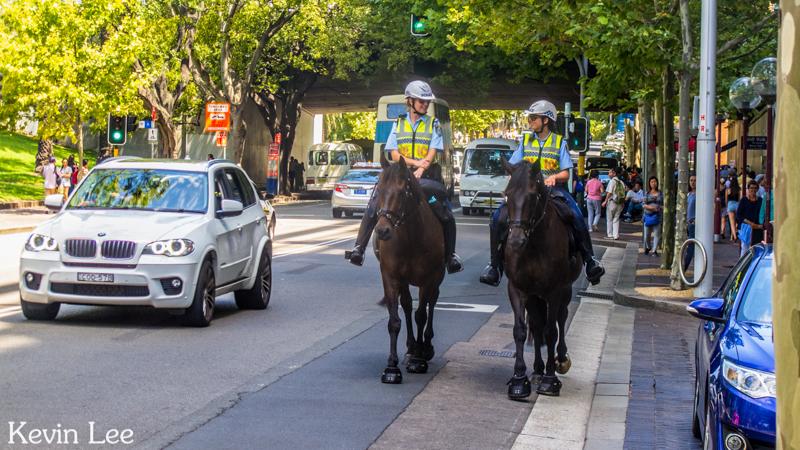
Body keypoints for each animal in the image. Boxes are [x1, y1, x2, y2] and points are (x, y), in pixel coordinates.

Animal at [374, 156, 446, 384]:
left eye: (401, 191)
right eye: (379, 189)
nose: (382, 230)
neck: (411, 237)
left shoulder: (428, 278)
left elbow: (421, 314)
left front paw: (418, 360)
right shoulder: (391, 277)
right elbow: (395, 320)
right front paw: (392, 367)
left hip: (437, 277)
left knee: (431, 303)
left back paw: (425, 347)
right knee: (406, 305)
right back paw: (411, 346)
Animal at [506, 158, 580, 398]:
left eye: (533, 196)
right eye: (507, 194)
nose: (516, 241)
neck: (534, 246)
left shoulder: (555, 291)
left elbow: (551, 332)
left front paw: (550, 380)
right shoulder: (518, 289)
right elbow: (521, 331)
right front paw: (519, 380)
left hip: (565, 290)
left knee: (560, 319)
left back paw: (561, 360)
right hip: (534, 296)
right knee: (537, 325)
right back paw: (537, 370)